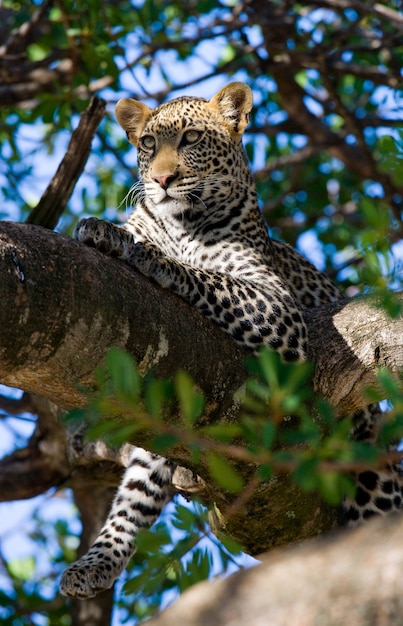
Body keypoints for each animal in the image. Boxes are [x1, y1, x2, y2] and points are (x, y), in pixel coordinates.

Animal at [60, 80, 403, 596]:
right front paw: (107, 232)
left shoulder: (278, 309)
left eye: (191, 139)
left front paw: (151, 257)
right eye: (148, 144)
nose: (161, 180)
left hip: (372, 470)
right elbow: (135, 492)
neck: (181, 224)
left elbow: (207, 276)